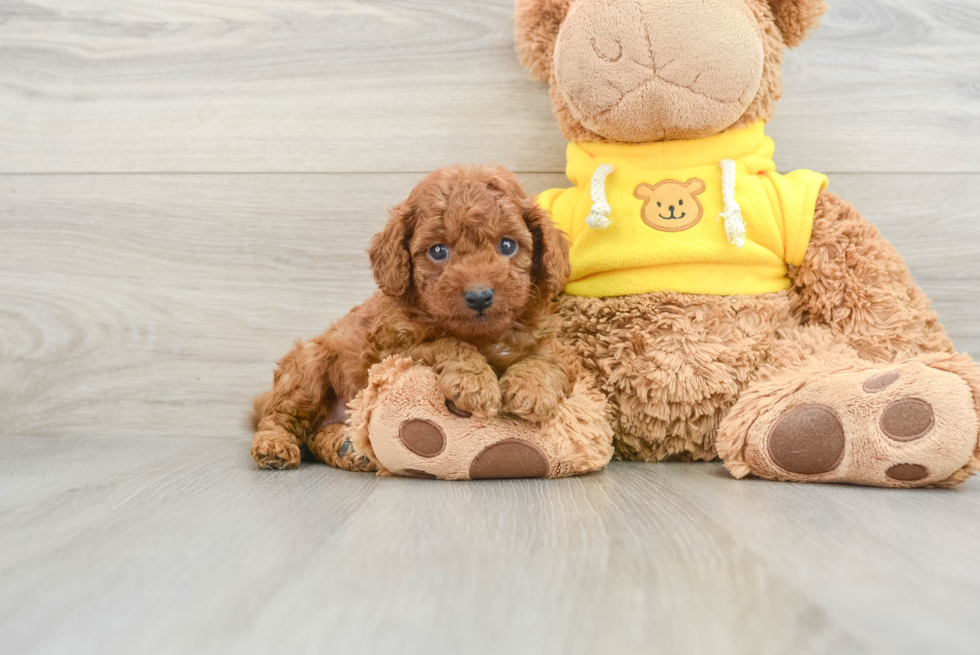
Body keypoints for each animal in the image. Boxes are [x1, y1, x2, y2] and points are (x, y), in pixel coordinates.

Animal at [253, 164, 576, 472]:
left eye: (507, 245)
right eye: (438, 251)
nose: (479, 296)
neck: (482, 335)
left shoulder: (554, 348)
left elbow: (546, 362)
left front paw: (531, 391)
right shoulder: (391, 350)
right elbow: (447, 343)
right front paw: (474, 382)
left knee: (314, 436)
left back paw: (348, 448)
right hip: (307, 367)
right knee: (281, 417)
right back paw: (274, 446)